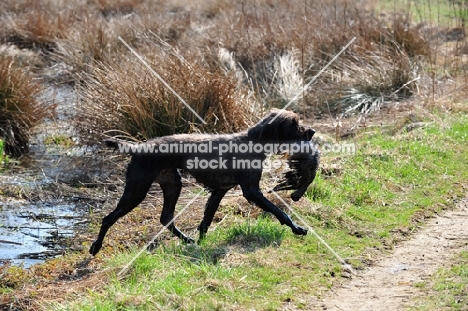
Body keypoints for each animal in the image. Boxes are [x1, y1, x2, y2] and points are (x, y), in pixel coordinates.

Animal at [89, 109, 320, 256]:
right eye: (294, 124)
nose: (312, 132)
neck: (252, 142)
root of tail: (137, 148)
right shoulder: (251, 191)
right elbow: (279, 211)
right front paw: (297, 228)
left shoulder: (219, 191)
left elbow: (206, 221)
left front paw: (200, 242)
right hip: (137, 191)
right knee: (108, 218)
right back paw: (96, 247)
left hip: (172, 184)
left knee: (166, 218)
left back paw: (187, 240)